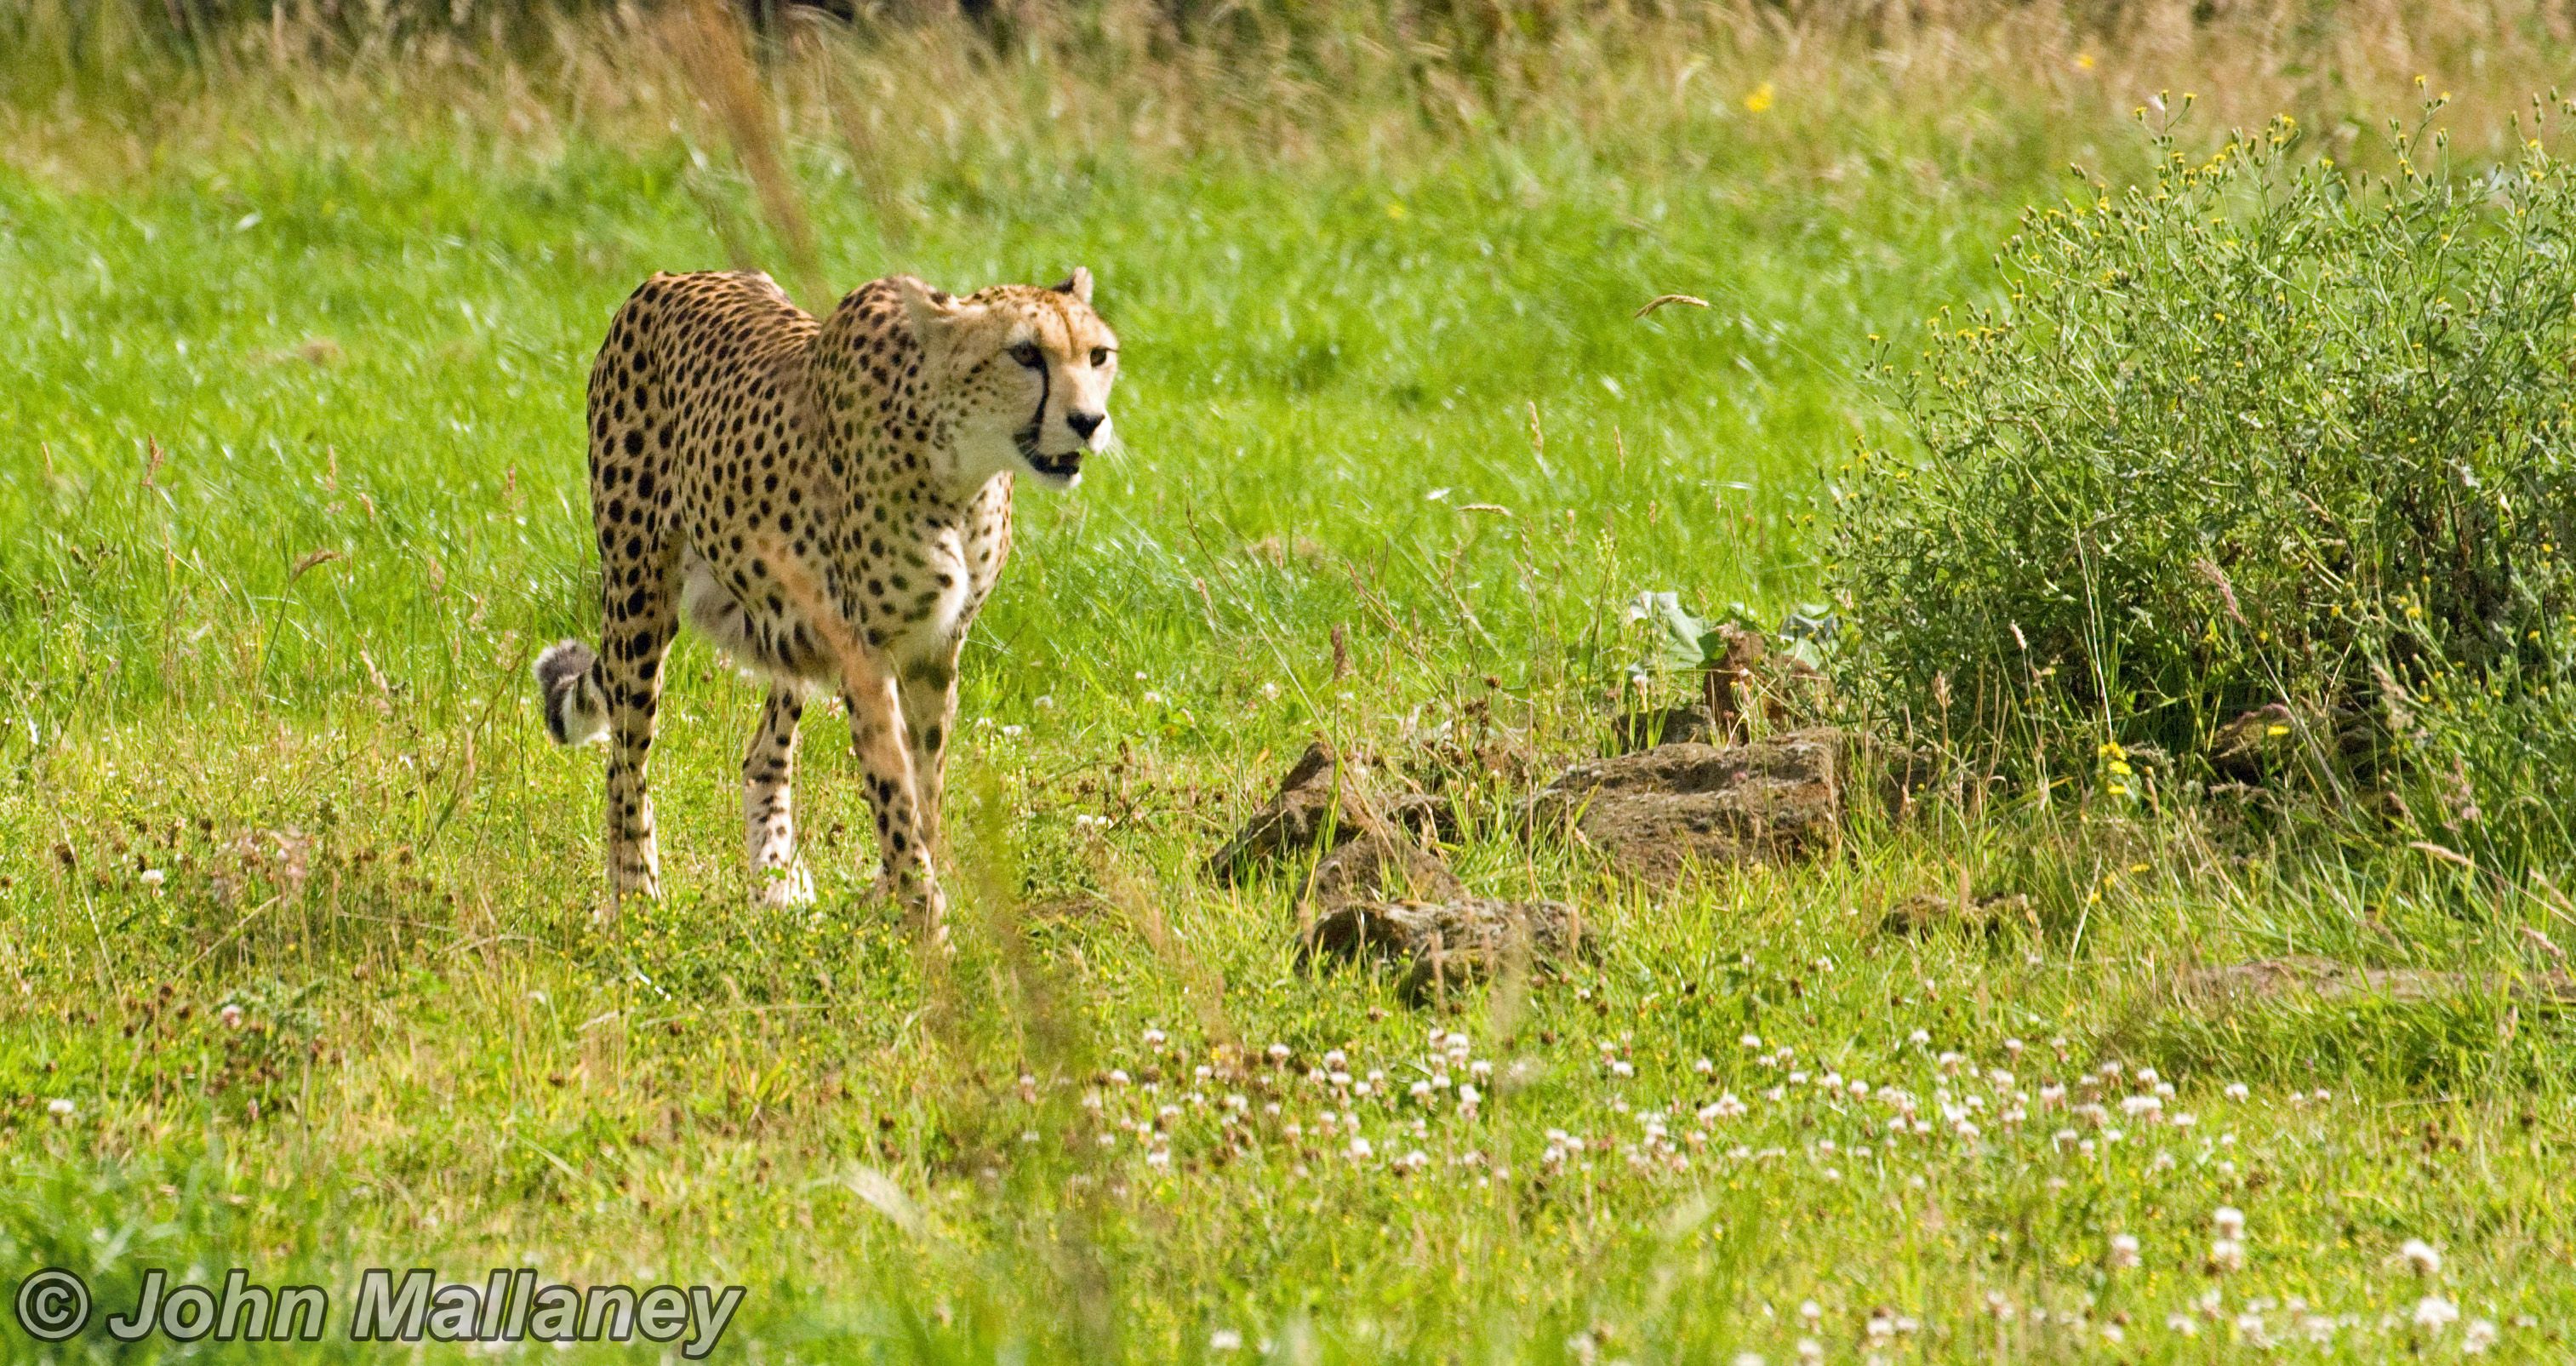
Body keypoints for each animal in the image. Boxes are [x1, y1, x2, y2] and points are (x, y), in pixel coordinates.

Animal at [532, 267, 1120, 931]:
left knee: (762, 753)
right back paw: (636, 898)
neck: (958, 469)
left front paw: (898, 900)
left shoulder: (934, 648)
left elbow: (925, 787)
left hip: (788, 624)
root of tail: (667, 277)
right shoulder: (866, 654)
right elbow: (895, 794)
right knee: (625, 760)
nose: (1089, 421)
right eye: (1024, 353)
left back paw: (776, 886)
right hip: (640, 594)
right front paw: (926, 924)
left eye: (1097, 355)